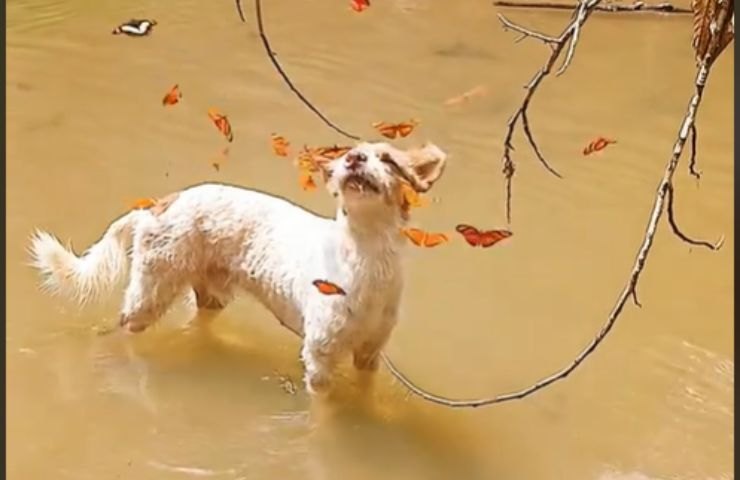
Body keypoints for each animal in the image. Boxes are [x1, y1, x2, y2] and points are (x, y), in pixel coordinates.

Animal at [27, 140, 446, 394]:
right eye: (348, 157)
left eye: (387, 159)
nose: (354, 160)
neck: (365, 255)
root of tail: (157, 205)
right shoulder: (320, 358)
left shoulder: (369, 354)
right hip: (150, 293)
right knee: (122, 328)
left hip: (209, 292)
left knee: (200, 324)